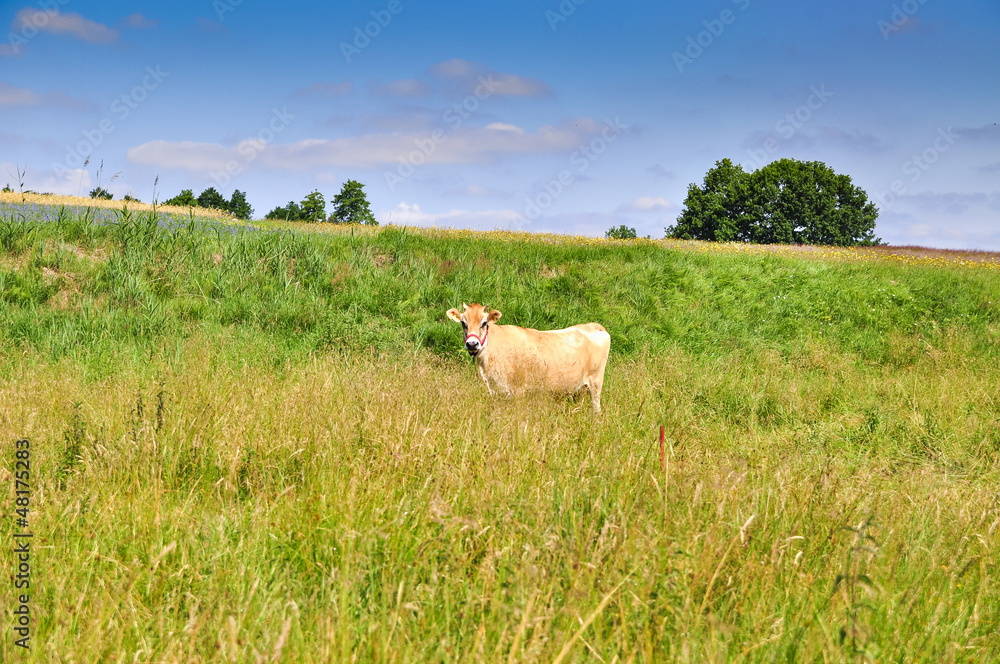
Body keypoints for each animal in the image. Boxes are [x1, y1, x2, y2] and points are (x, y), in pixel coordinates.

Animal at [446, 302, 611, 413]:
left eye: (484, 323)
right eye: (463, 323)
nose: (472, 344)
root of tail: (593, 325)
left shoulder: (518, 391)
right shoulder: (495, 391)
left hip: (596, 382)